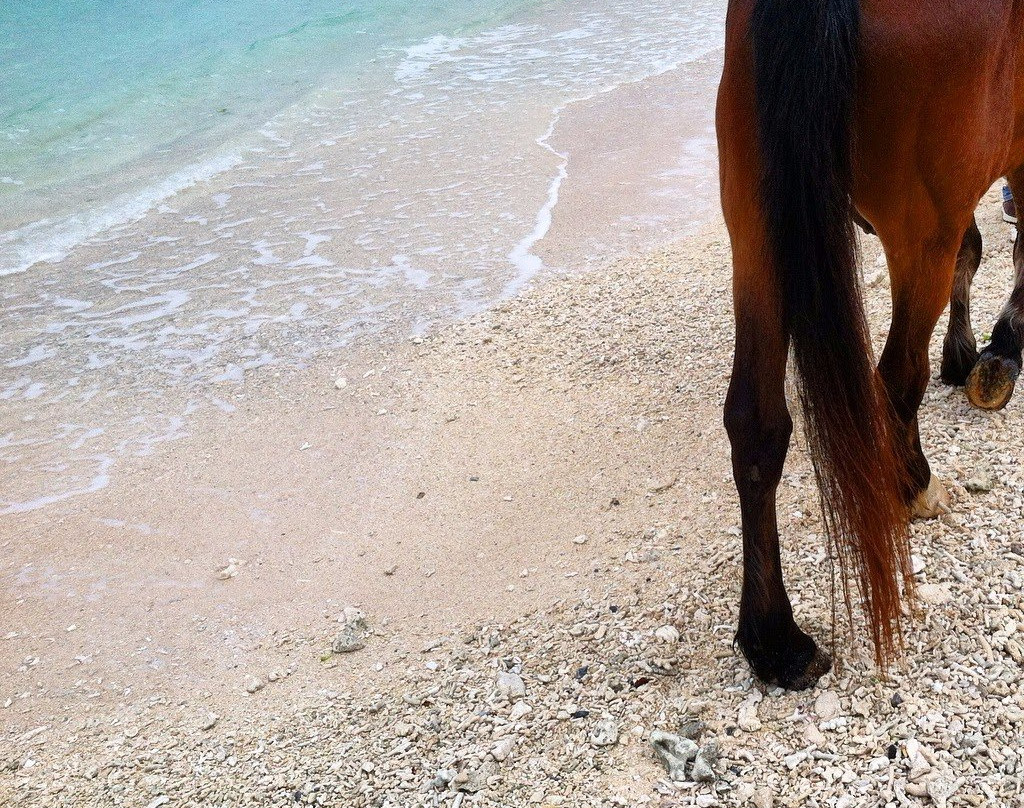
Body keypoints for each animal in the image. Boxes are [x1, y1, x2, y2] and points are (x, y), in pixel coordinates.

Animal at [716, 0, 1024, 689]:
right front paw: (1001, 350)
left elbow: (979, 249)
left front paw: (967, 353)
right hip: (919, 227)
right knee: (895, 380)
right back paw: (913, 484)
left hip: (755, 228)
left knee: (756, 421)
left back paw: (774, 639)